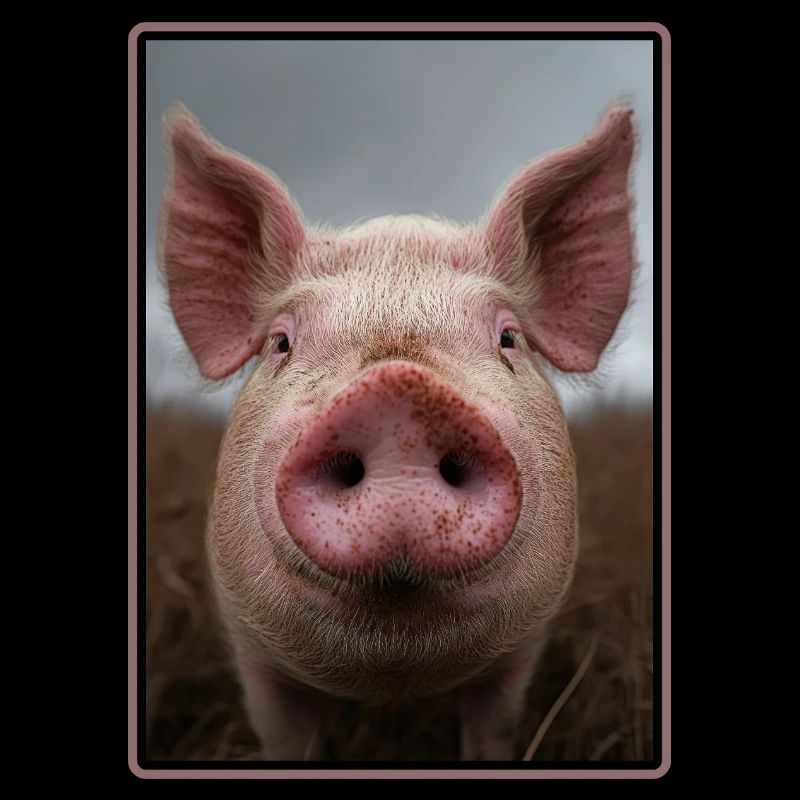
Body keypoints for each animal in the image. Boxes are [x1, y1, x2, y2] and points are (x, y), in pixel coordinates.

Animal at [158, 102, 636, 761]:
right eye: (281, 343)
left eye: (508, 338)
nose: (399, 392)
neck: (394, 679)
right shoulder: (254, 654)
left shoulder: (521, 653)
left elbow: (493, 729)